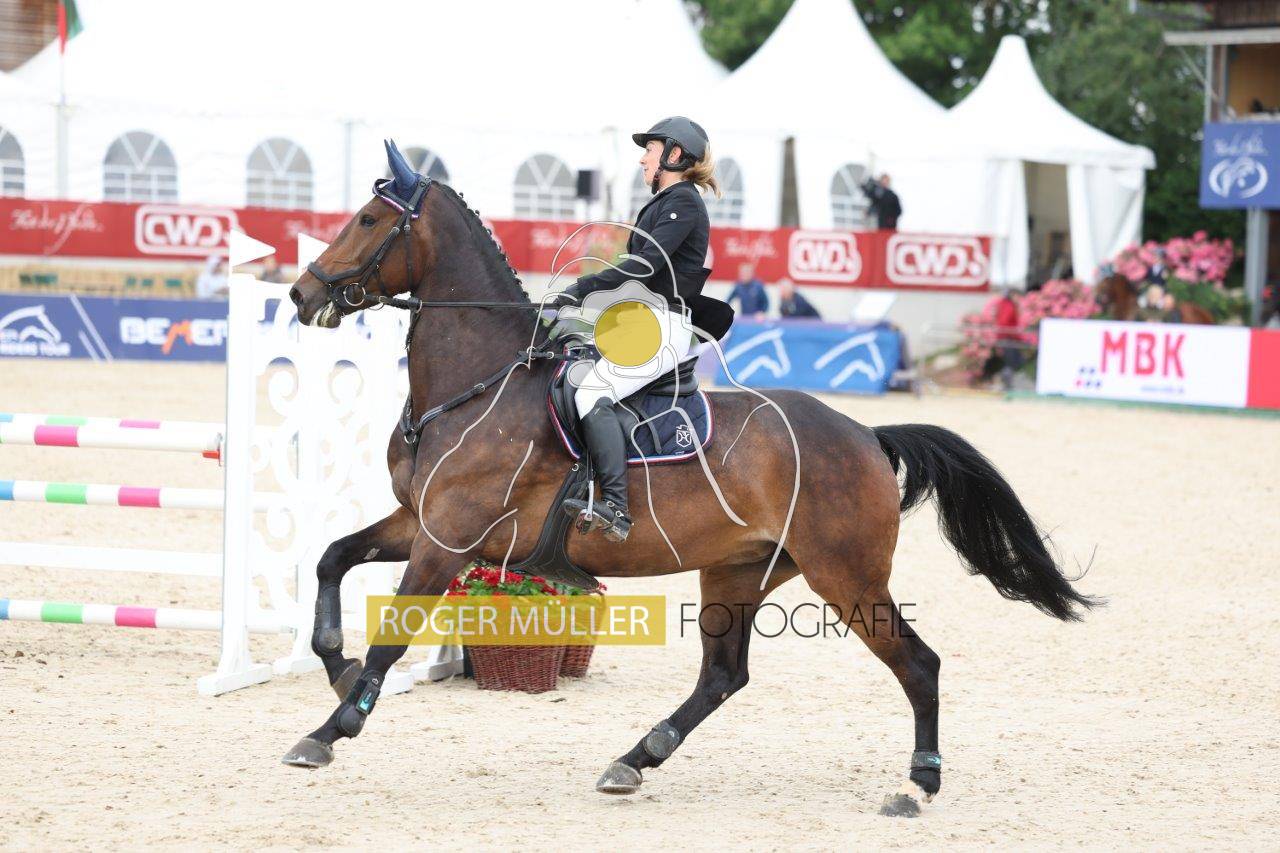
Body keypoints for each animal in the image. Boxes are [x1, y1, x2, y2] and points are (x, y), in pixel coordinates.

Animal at [281, 143, 1099, 817]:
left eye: (366, 220)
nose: (299, 295)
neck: (480, 382)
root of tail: (866, 434)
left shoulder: (448, 540)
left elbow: (389, 639)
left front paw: (330, 728)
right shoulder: (420, 524)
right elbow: (329, 558)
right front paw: (336, 669)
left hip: (847, 576)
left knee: (916, 663)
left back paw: (918, 781)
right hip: (740, 570)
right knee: (723, 676)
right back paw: (634, 759)